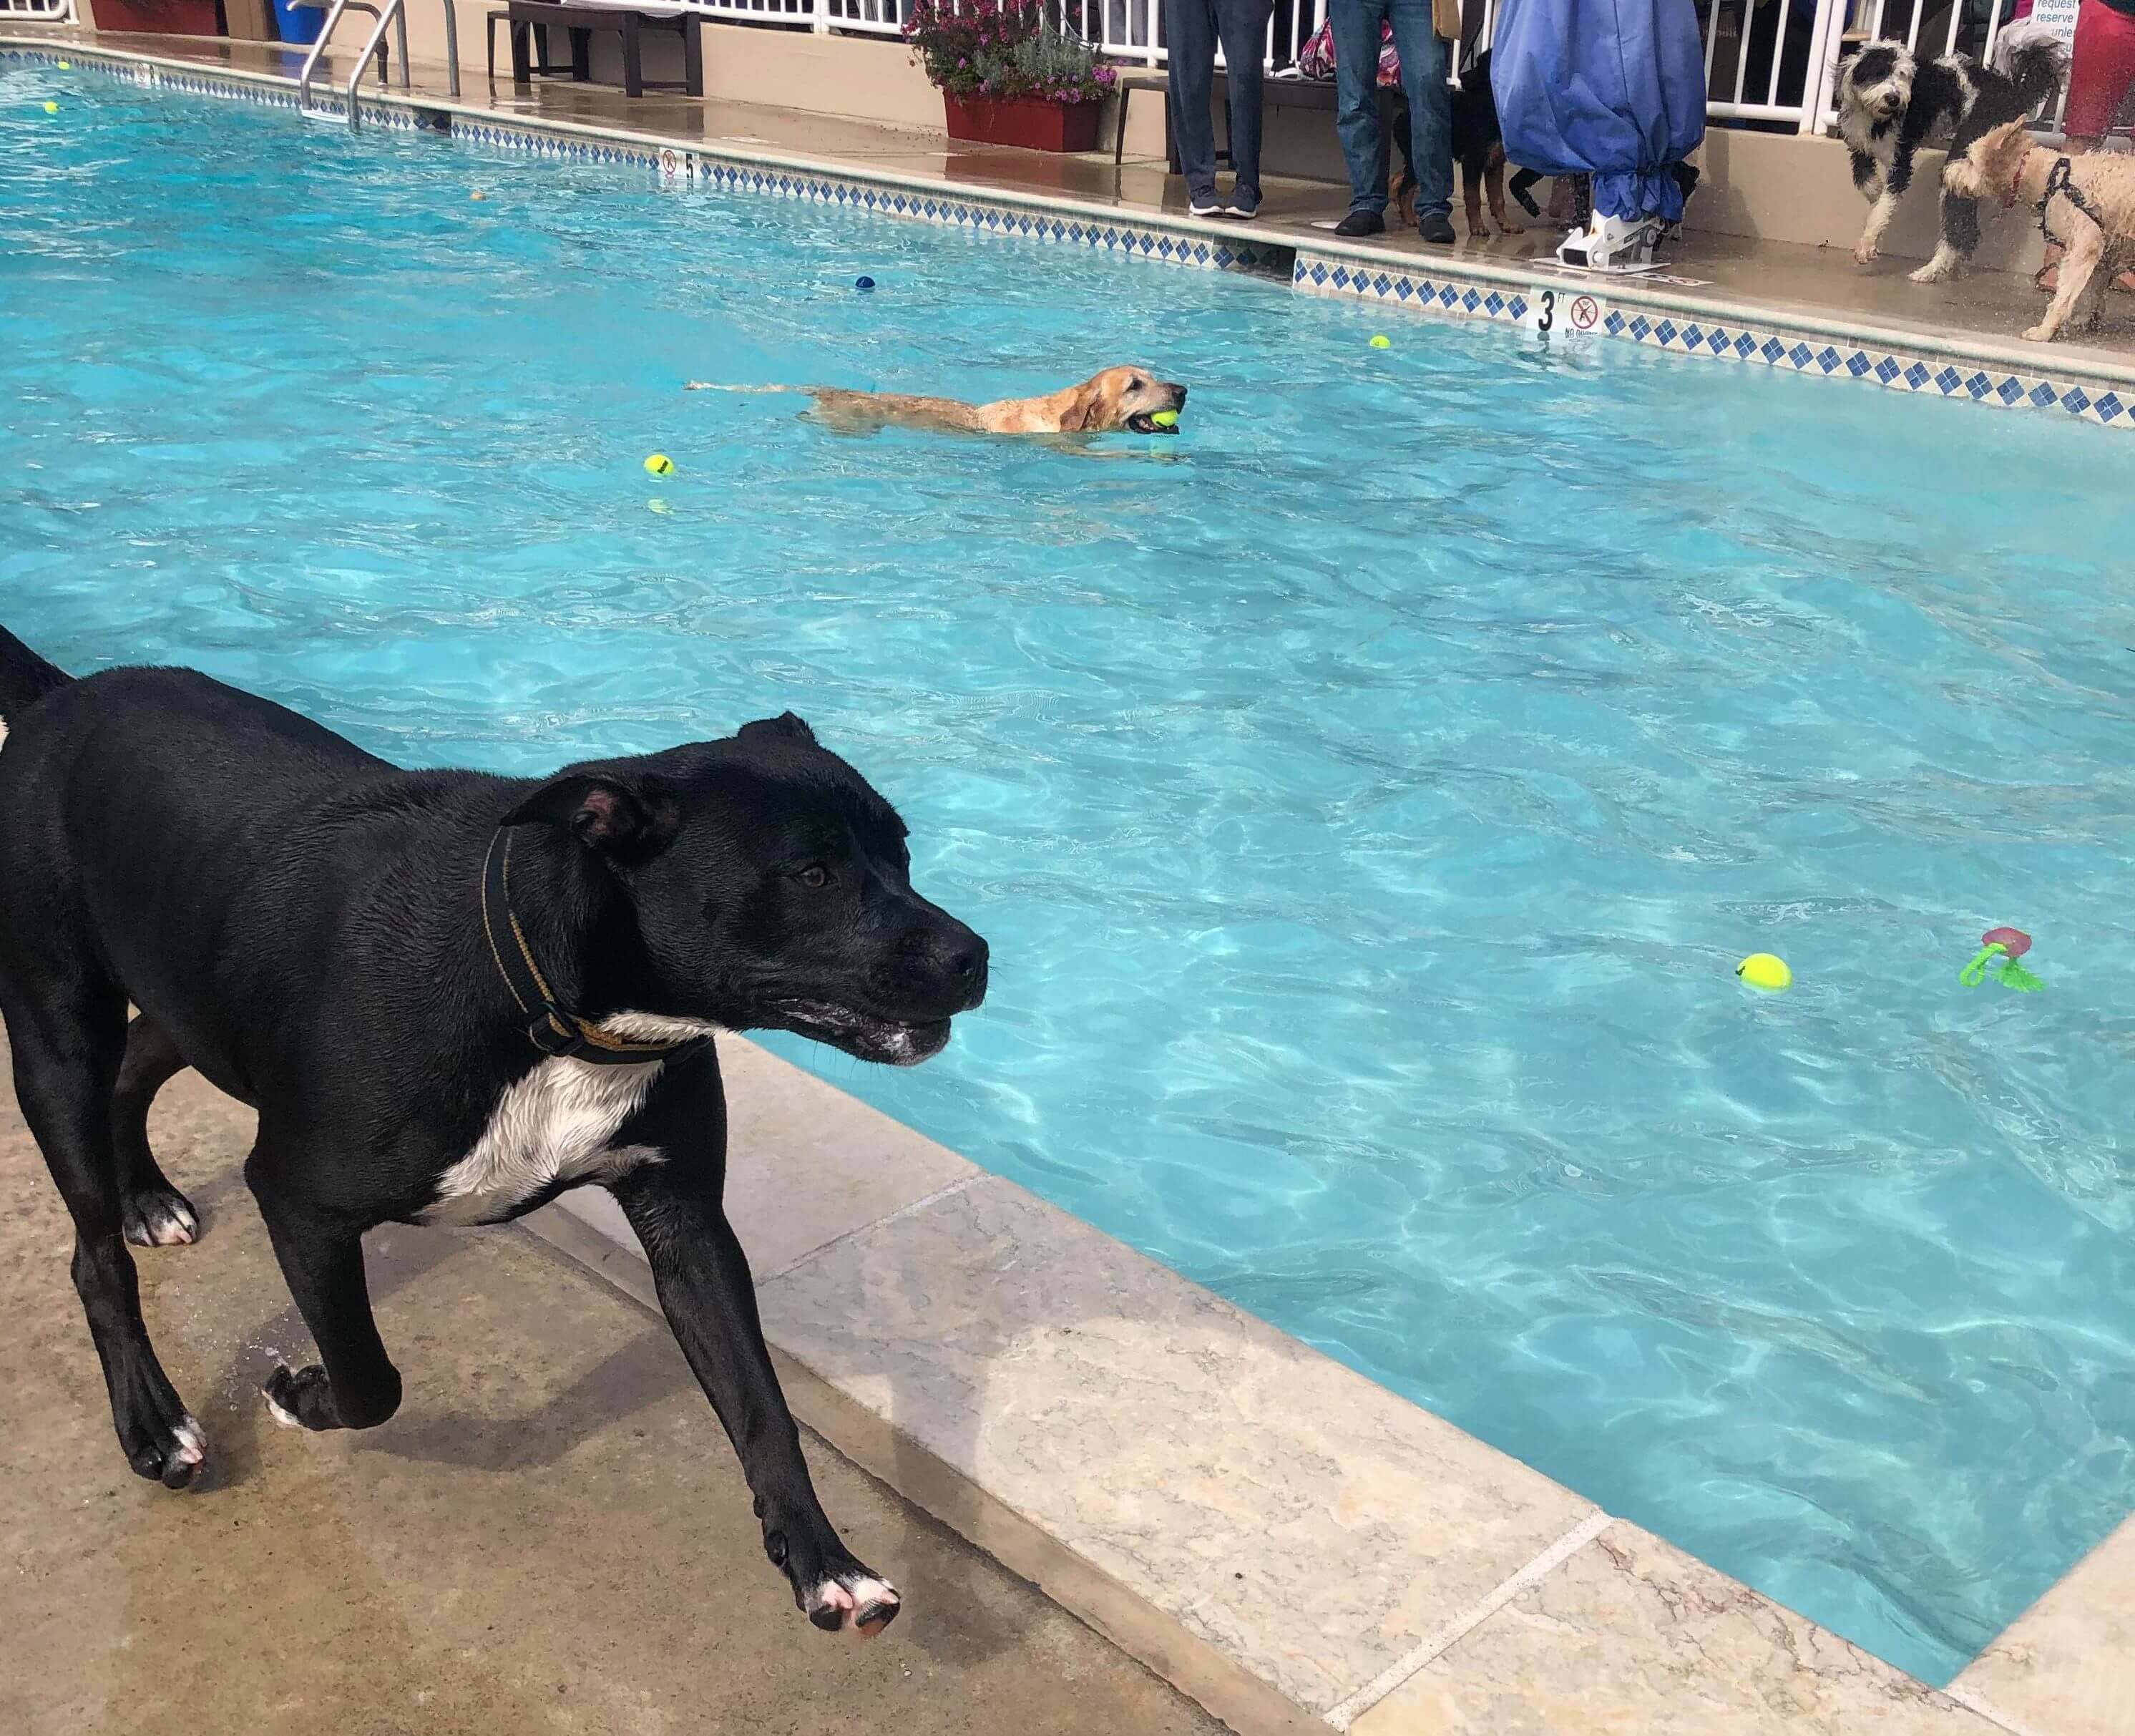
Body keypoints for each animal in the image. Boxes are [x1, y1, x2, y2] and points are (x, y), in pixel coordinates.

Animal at [0, 628, 982, 1639]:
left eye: (902, 851)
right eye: (812, 874)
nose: (973, 956)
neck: (548, 996)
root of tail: (63, 698)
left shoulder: (688, 1223)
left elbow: (760, 1405)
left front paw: (825, 1561)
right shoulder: (300, 1200)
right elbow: (371, 1377)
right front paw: (304, 1395)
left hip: (185, 999)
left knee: (137, 1061)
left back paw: (146, 1193)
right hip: (54, 1031)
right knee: (94, 1256)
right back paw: (151, 1419)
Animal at [1836, 25, 2066, 281]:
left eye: (1904, 76)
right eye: (1879, 73)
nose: (1894, 99)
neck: (1876, 118)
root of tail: (2012, 92)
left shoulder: (1901, 161)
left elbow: (1883, 205)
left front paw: (1867, 244)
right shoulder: (1860, 147)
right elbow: (1864, 180)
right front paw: (1875, 191)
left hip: (1966, 151)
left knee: (1960, 231)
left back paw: (1930, 271)